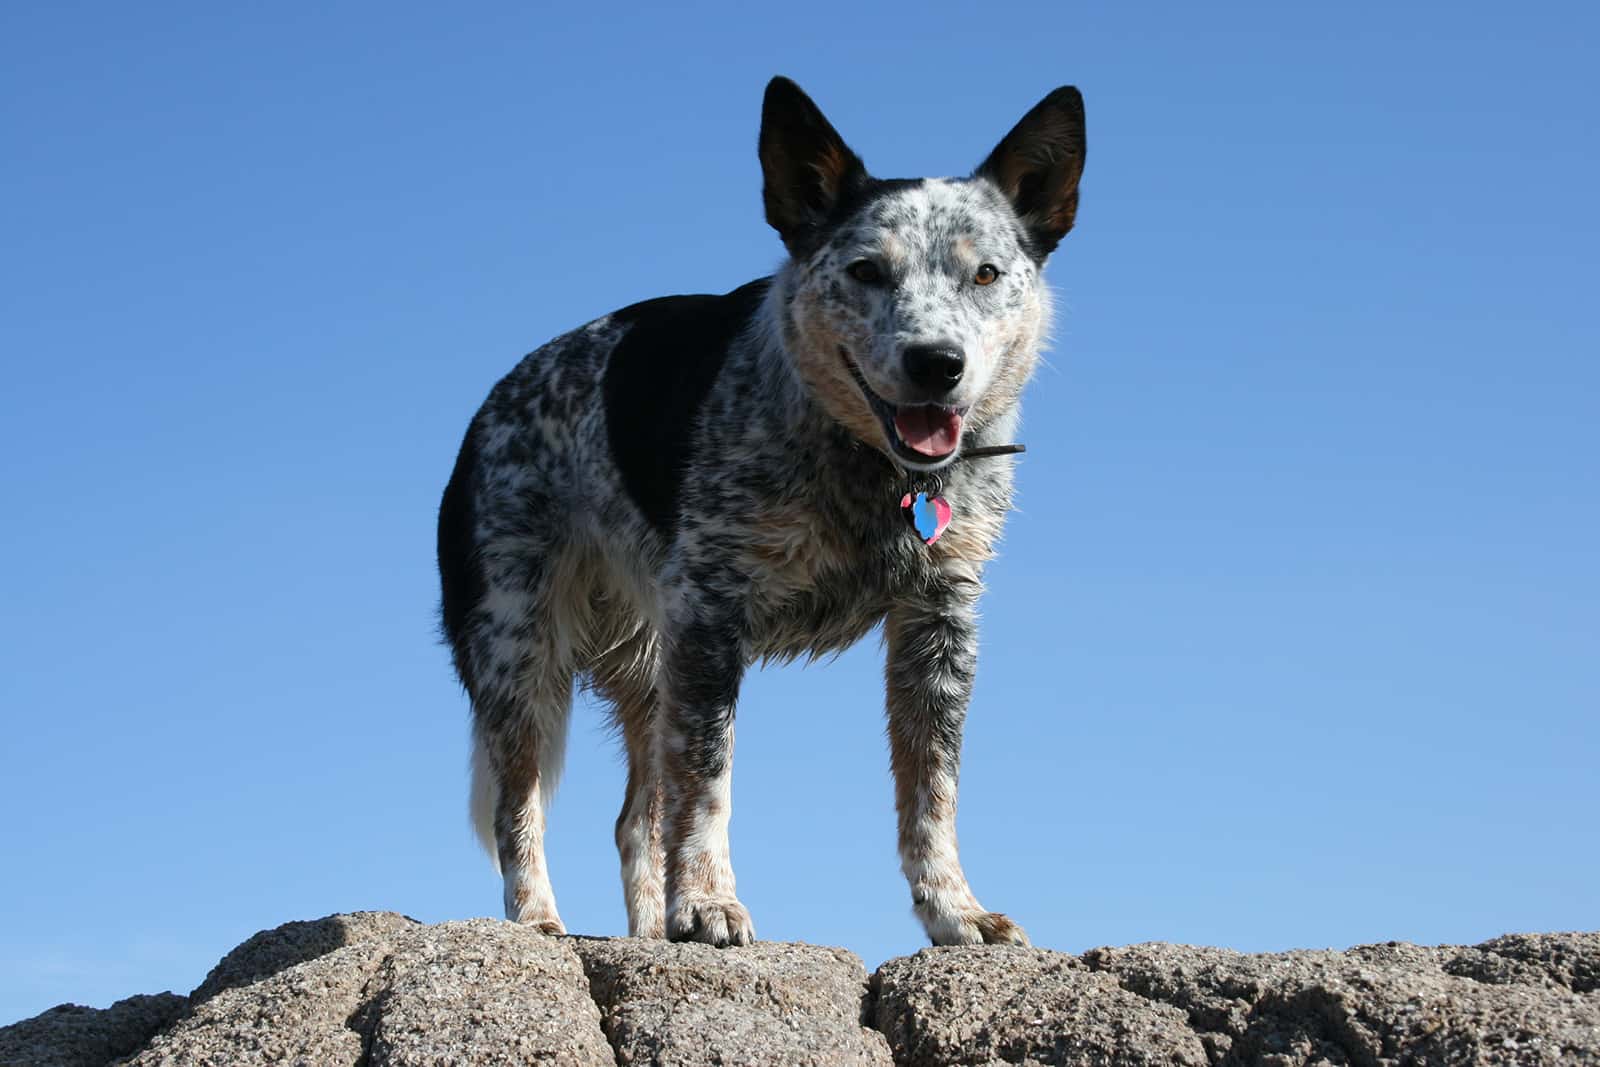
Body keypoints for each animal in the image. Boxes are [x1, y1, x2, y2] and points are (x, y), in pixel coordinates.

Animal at [438, 75, 1088, 947]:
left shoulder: (939, 621)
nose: (936, 363)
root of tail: (489, 407)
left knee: (636, 817)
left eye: (985, 274)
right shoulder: (711, 614)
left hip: (650, 662)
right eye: (866, 271)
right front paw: (708, 903)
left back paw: (649, 932)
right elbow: (709, 777)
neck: (868, 468)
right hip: (522, 650)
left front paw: (956, 911)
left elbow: (932, 790)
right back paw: (538, 917)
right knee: (521, 803)